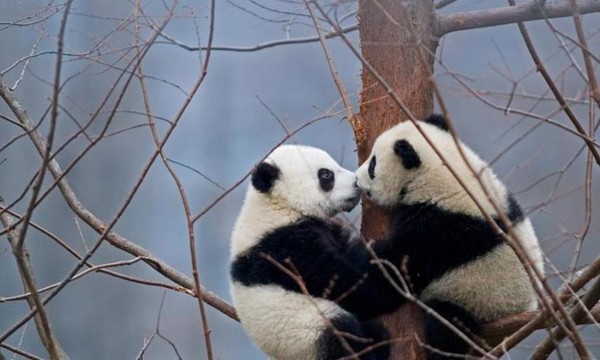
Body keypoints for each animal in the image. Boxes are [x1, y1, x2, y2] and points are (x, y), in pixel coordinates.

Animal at [231, 144, 394, 360]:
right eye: (326, 175)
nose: (357, 183)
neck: (279, 206)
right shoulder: (287, 248)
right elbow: (338, 279)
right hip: (306, 332)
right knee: (341, 334)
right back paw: (376, 342)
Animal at [354, 115, 548, 360]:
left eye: (373, 165)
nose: (355, 179)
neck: (443, 171)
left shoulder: (438, 228)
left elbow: (392, 269)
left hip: (475, 302)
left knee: (447, 327)